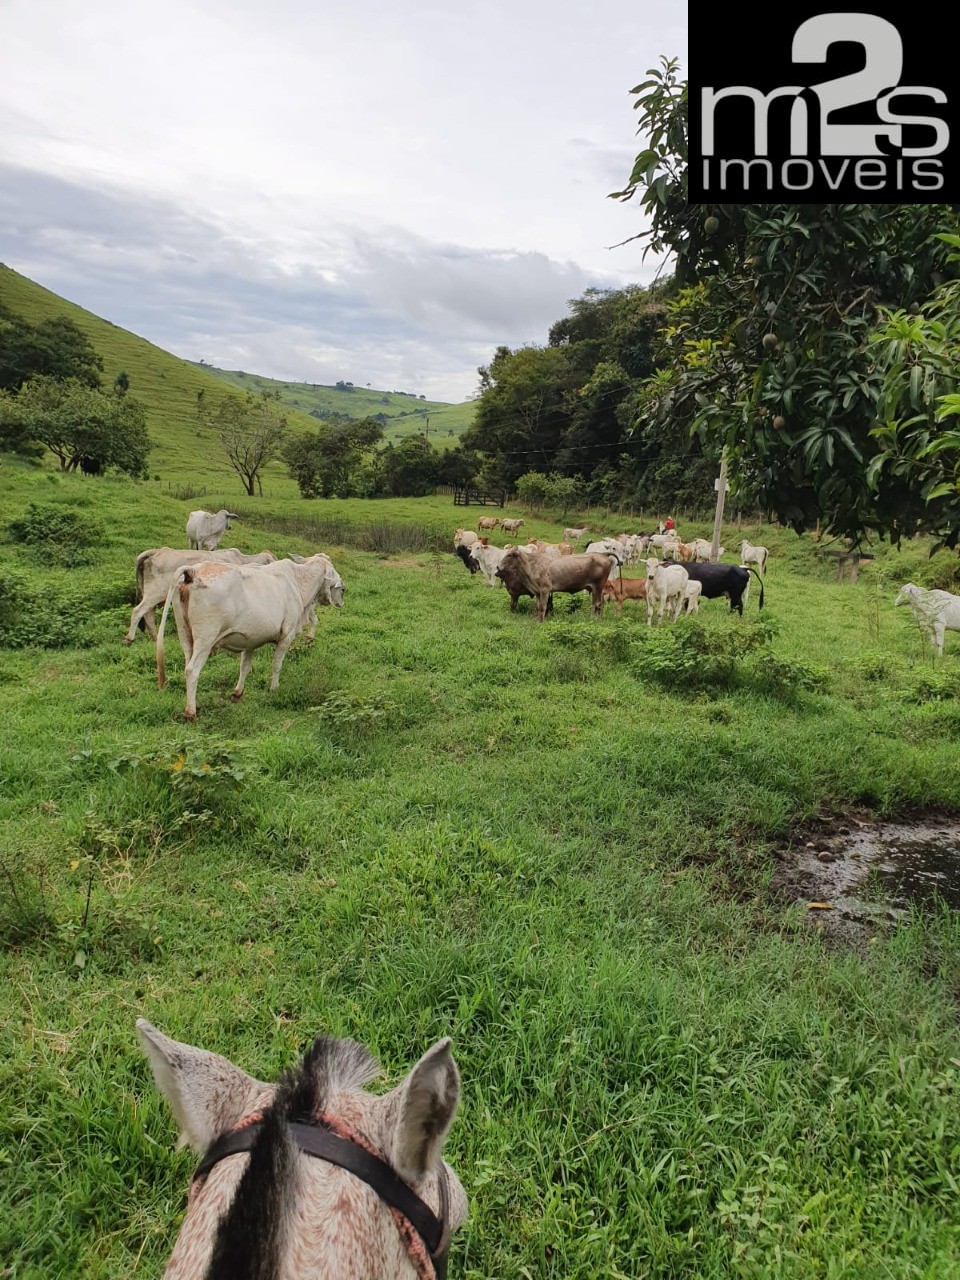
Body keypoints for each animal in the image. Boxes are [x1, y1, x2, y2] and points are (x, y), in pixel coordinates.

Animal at [122, 547, 276, 645]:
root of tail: (156, 551)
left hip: (153, 596)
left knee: (148, 615)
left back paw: (155, 638)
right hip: (154, 593)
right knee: (138, 611)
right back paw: (129, 638)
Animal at [160, 552, 348, 721]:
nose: (343, 593)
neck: (298, 581)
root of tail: (194, 570)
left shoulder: (249, 640)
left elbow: (244, 667)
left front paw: (237, 693)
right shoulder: (286, 637)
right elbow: (276, 665)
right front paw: (274, 689)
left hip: (185, 634)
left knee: (186, 665)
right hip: (205, 639)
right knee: (192, 670)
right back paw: (190, 712)